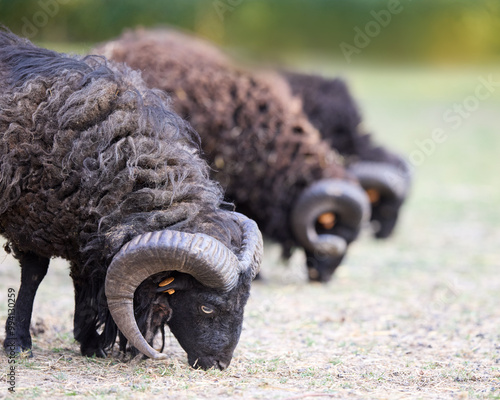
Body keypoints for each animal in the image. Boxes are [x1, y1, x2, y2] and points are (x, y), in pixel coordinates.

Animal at [0, 28, 264, 372]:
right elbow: (33, 276)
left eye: (244, 301)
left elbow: (85, 281)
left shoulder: (82, 230)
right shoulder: (30, 218)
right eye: (206, 307)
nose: (219, 365)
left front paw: (91, 341)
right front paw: (19, 344)